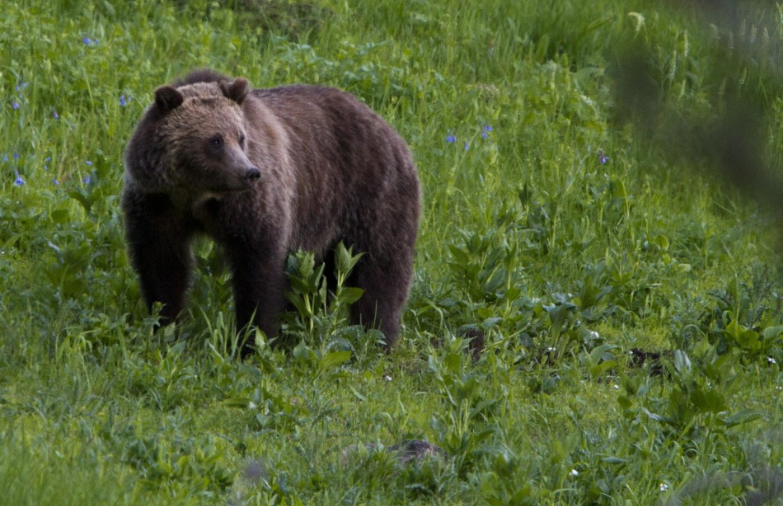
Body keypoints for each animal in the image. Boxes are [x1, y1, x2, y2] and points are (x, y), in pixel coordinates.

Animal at [121, 69, 422, 356]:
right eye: (215, 140)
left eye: (240, 137)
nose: (249, 172)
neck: (198, 195)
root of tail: (388, 128)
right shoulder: (158, 204)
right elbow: (162, 265)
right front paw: (165, 327)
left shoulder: (251, 206)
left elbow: (258, 270)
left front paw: (252, 341)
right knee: (324, 277)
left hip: (372, 195)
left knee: (381, 271)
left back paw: (376, 337)